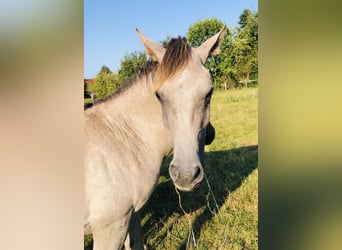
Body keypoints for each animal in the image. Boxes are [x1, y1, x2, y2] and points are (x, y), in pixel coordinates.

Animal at [84, 25, 226, 250]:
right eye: (159, 95)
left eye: (209, 93)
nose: (186, 175)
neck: (121, 137)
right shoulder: (111, 228)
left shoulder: (131, 216)